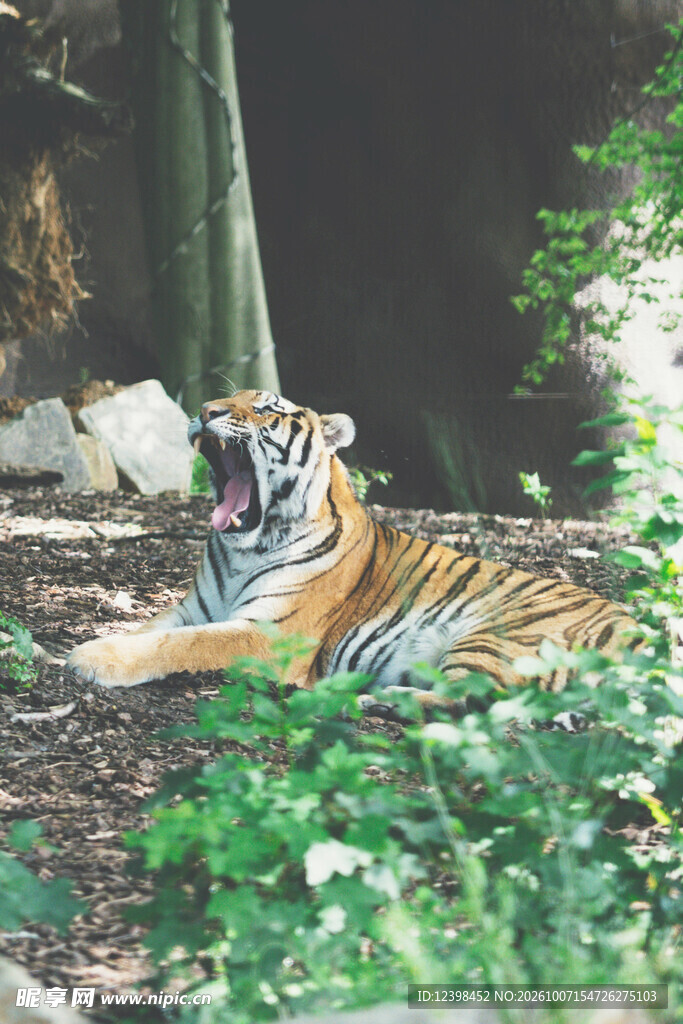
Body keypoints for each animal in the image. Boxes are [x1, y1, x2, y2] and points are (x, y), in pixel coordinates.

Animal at [67, 390, 640, 715]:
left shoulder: (272, 635)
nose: (204, 412)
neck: (243, 547)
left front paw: (90, 659)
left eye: (267, 409)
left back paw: (372, 699)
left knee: (479, 702)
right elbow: (147, 630)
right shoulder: (192, 609)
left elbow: (180, 646)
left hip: (496, 637)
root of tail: (640, 633)